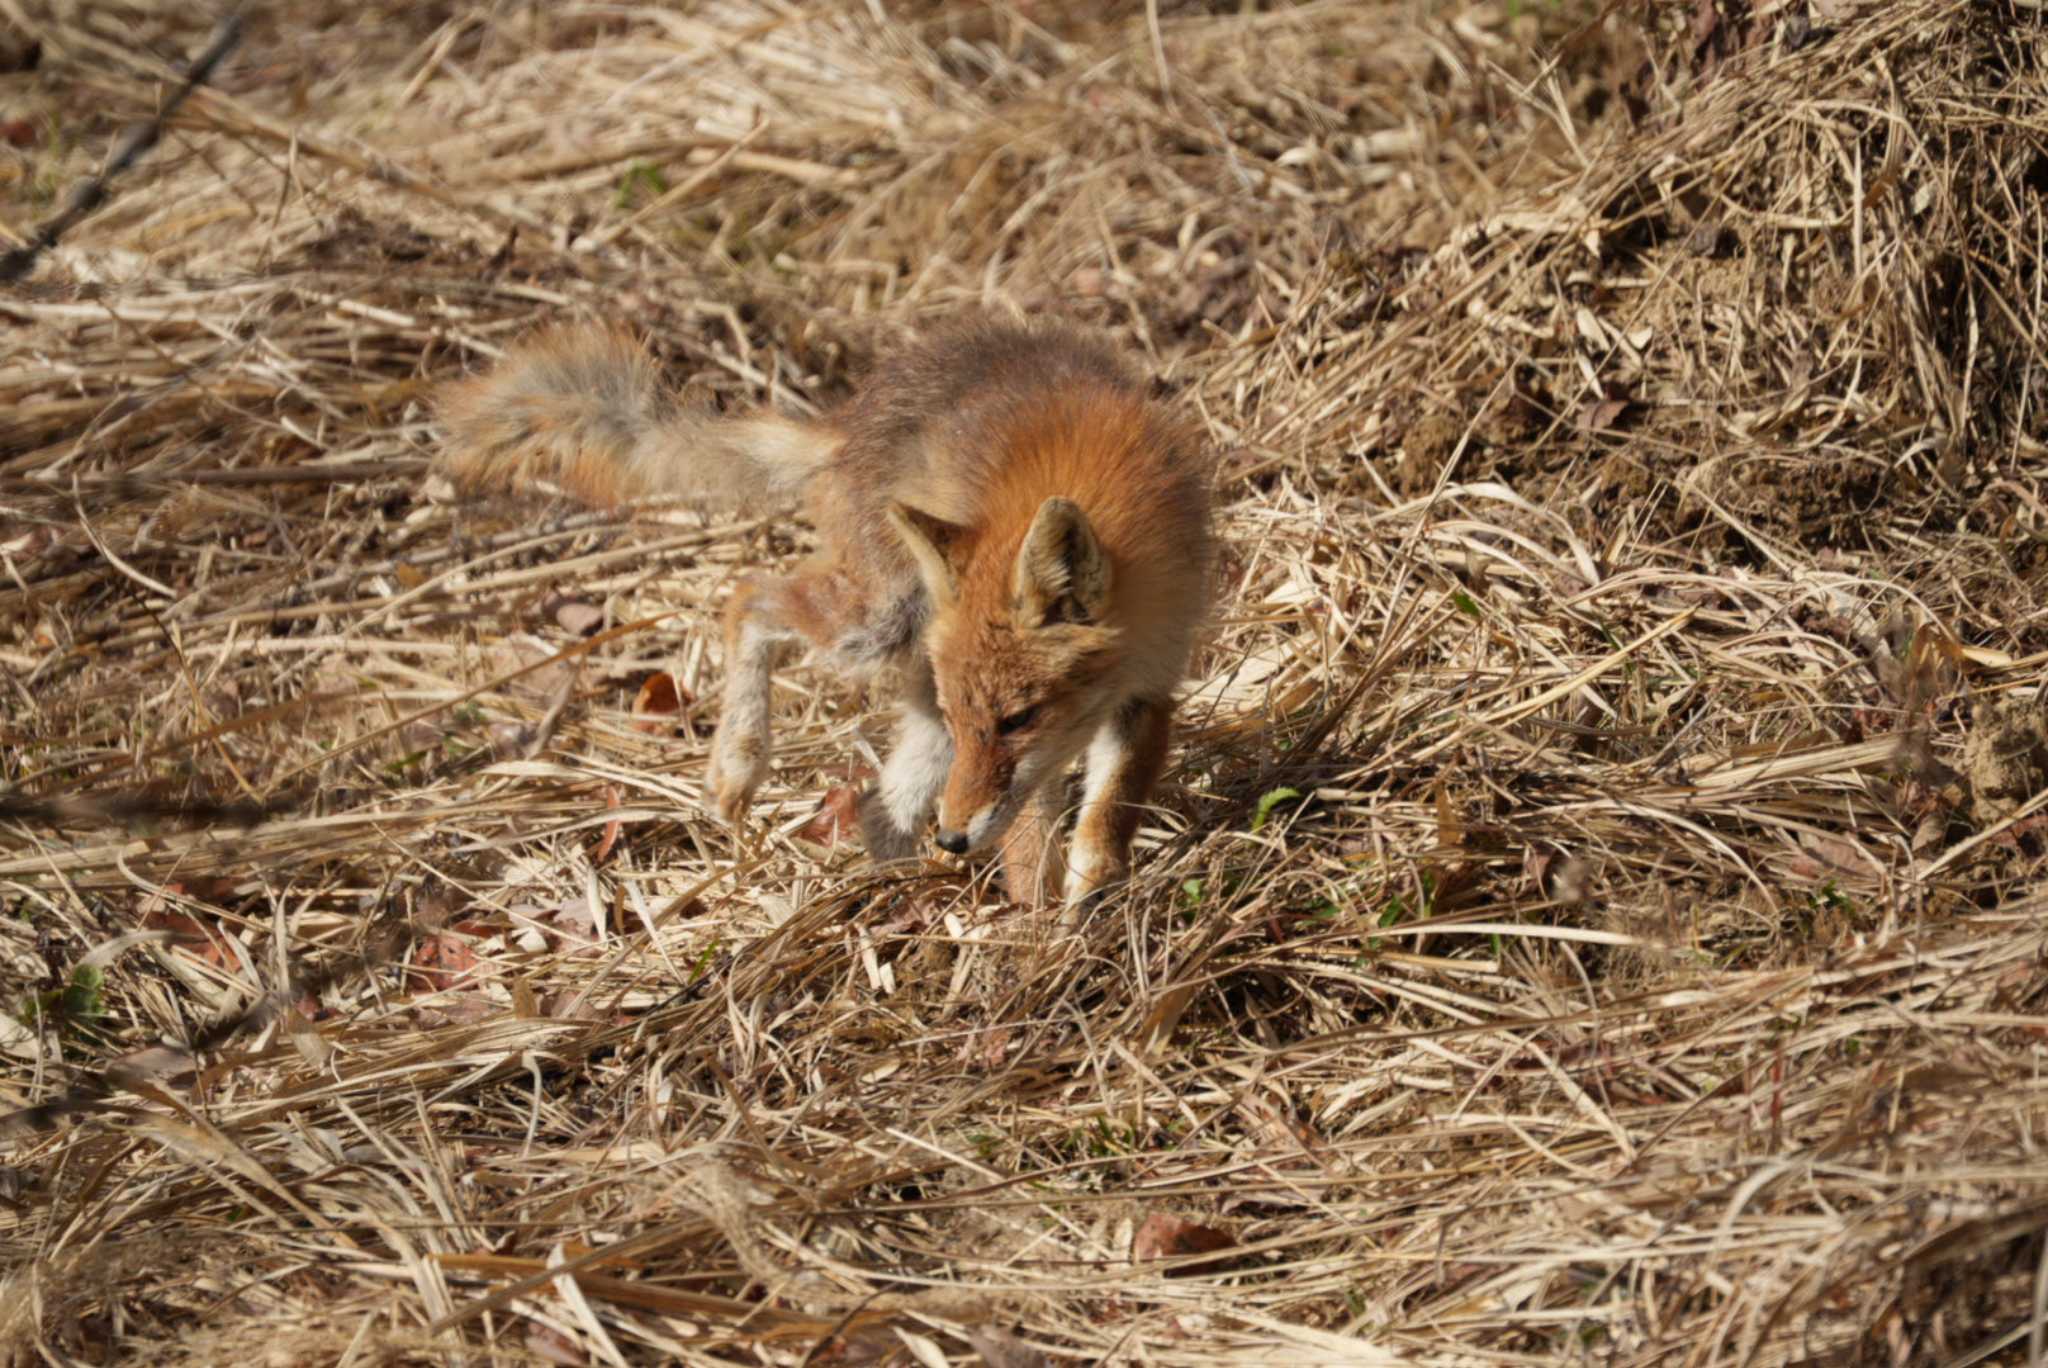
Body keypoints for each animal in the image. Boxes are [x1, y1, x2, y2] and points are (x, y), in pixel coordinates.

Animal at [430, 315, 1196, 901]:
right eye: (988, 720)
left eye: (1017, 719)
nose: (952, 836)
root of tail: (846, 423)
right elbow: (1032, 843)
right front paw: (1039, 940)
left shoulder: (1148, 690)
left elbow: (1104, 823)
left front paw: (1088, 908)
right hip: (879, 627)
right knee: (749, 597)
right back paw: (739, 764)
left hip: (912, 668)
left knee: (876, 808)